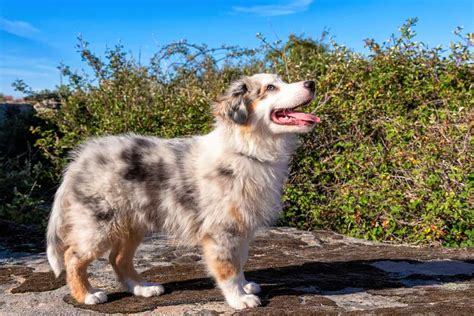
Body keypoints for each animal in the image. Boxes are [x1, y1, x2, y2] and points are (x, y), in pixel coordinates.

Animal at [46, 73, 320, 308]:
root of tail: (79, 160)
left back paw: (143, 288)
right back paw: (87, 295)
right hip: (98, 224)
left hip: (133, 223)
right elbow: (228, 268)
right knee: (73, 256)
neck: (247, 150)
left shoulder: (242, 227)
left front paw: (245, 287)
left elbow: (240, 261)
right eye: (271, 88)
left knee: (118, 259)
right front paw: (238, 299)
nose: (312, 83)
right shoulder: (222, 230)